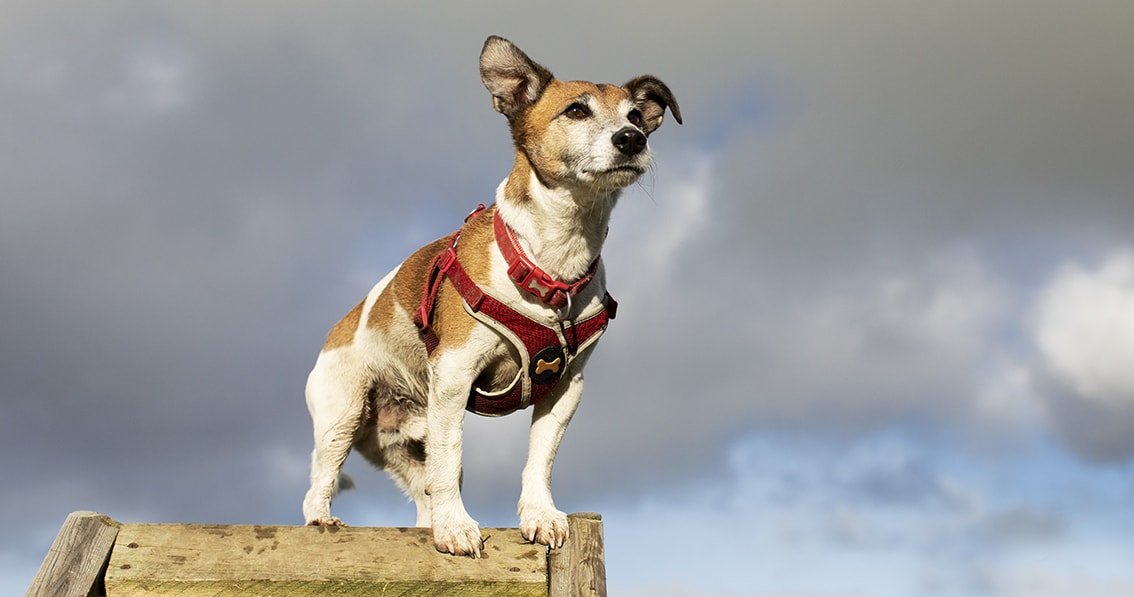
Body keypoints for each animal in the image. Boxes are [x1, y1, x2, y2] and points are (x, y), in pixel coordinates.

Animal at [299, 35, 680, 558]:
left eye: (637, 116)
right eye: (576, 110)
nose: (632, 139)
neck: (550, 264)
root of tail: (339, 328)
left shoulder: (566, 387)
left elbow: (539, 458)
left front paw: (540, 514)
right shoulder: (455, 375)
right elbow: (452, 461)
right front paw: (457, 527)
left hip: (408, 438)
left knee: (423, 487)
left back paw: (427, 522)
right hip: (345, 414)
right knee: (325, 477)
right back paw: (323, 519)